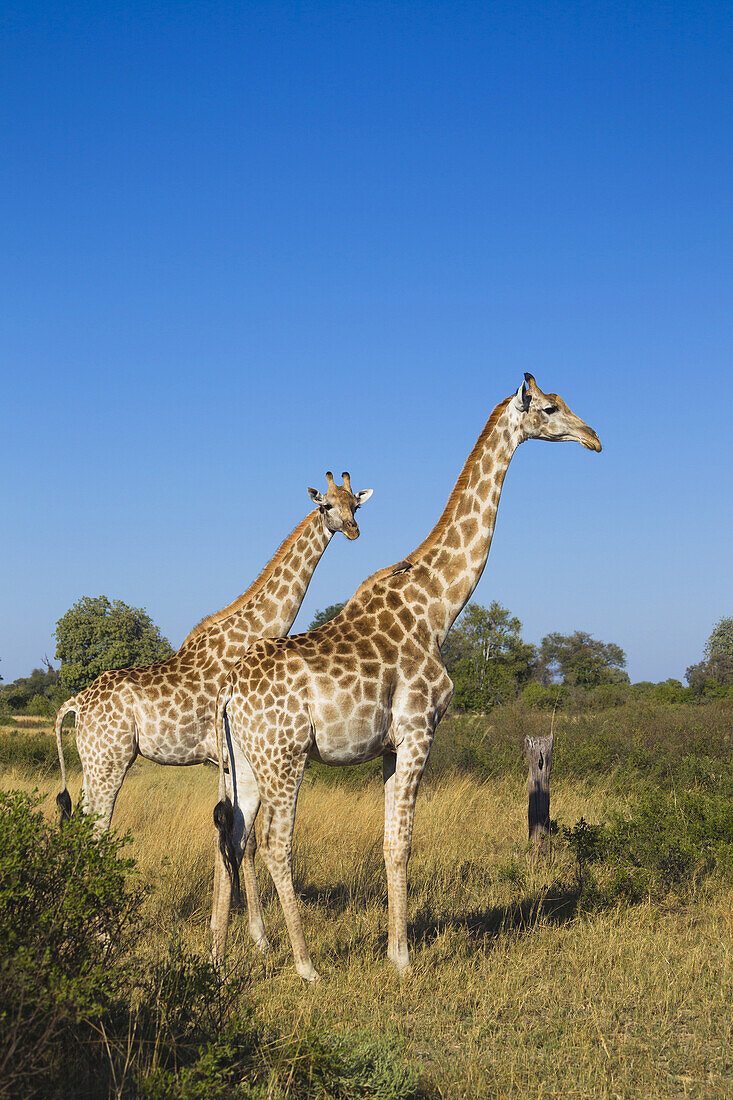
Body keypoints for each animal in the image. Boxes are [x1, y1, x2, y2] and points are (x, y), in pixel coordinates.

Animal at [54, 473, 372, 831]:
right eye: (327, 505)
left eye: (356, 506)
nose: (353, 529)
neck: (249, 633)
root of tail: (74, 703)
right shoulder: (230, 757)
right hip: (109, 760)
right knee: (96, 825)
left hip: (92, 761)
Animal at [211, 376, 598, 981]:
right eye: (551, 407)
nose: (594, 438)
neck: (440, 603)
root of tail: (228, 695)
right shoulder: (419, 730)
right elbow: (403, 844)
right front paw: (405, 962)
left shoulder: (391, 748)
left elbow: (390, 841)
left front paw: (395, 953)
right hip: (285, 756)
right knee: (274, 842)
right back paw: (305, 965)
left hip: (243, 762)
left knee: (234, 836)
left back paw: (219, 957)